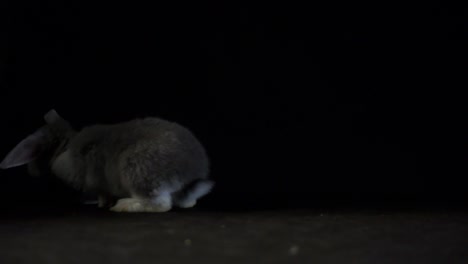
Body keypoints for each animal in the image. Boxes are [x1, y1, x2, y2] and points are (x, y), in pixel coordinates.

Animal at [0, 109, 214, 212]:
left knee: (160, 204)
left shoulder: (96, 183)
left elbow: (101, 193)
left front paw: (100, 203)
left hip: (137, 170)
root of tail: (190, 175)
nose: (31, 171)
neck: (66, 143)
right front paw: (101, 203)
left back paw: (123, 206)